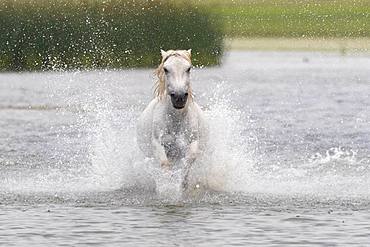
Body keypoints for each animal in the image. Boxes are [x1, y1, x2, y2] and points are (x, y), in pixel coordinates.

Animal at [137, 49, 210, 188]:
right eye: (166, 69)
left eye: (189, 68)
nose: (179, 97)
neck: (176, 120)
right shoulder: (157, 143)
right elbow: (164, 164)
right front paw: (168, 184)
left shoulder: (193, 142)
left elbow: (189, 159)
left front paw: (182, 183)